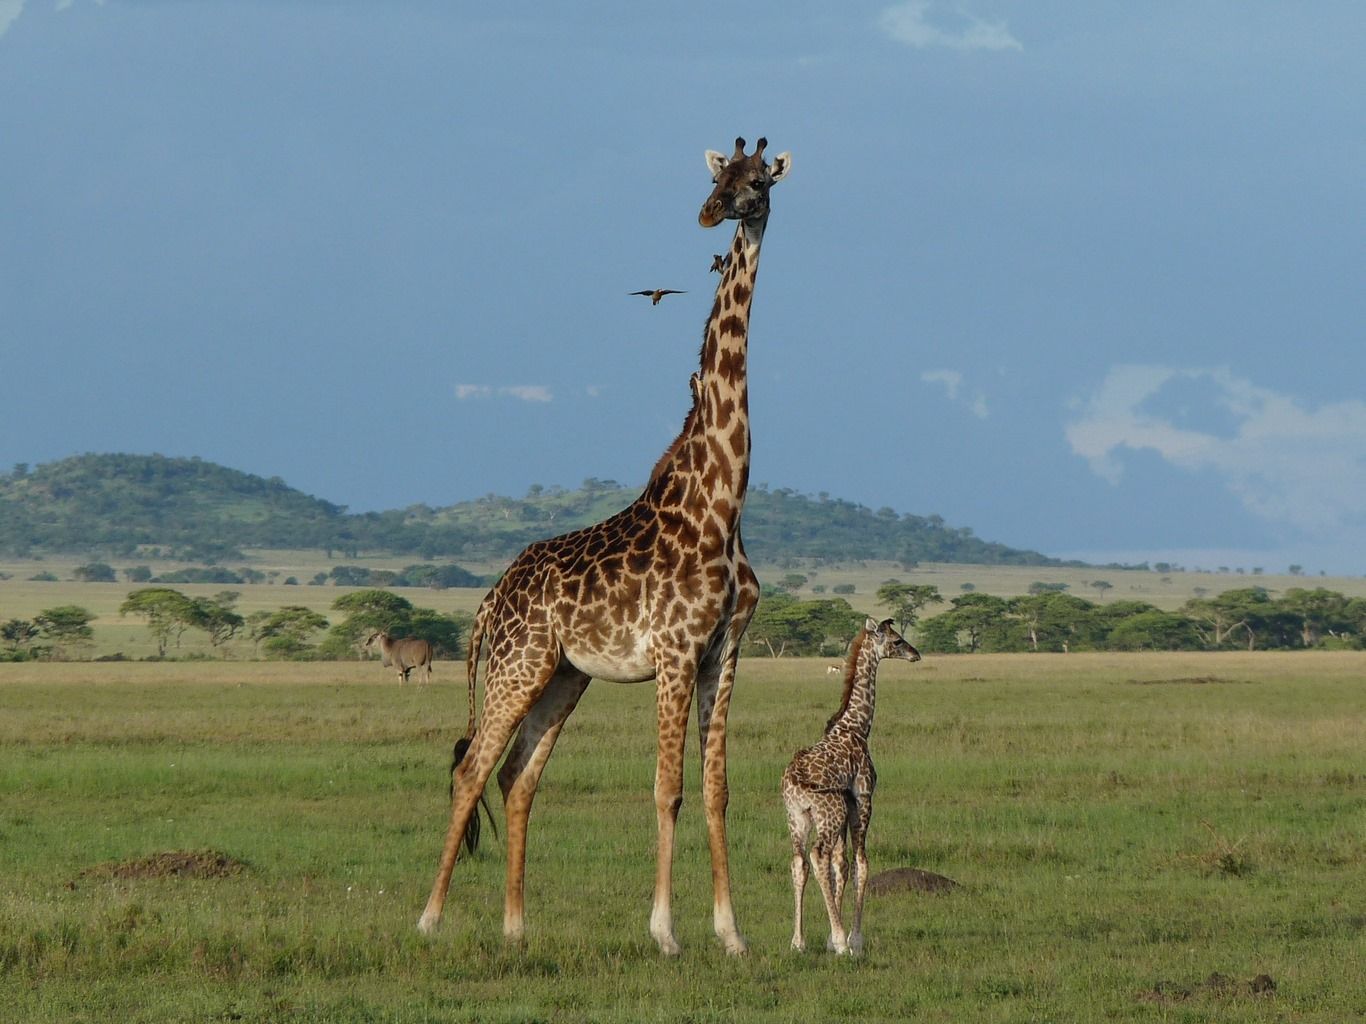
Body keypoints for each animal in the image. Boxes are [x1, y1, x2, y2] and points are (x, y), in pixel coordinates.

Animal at [417, 134, 792, 955]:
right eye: (717, 177)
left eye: (757, 182)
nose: (710, 213)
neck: (724, 500)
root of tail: (489, 599)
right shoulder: (676, 653)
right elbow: (668, 789)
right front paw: (666, 932)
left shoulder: (725, 651)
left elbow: (716, 790)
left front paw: (733, 935)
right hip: (520, 664)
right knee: (471, 769)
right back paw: (428, 918)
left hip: (564, 675)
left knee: (517, 776)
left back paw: (516, 928)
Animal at [781, 614, 917, 961]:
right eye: (896, 640)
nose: (915, 654)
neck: (857, 727)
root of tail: (795, 782)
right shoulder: (862, 798)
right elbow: (861, 863)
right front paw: (852, 940)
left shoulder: (847, 804)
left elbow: (840, 865)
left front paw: (830, 939)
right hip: (829, 814)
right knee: (817, 856)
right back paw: (842, 942)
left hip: (797, 817)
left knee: (799, 862)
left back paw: (798, 942)